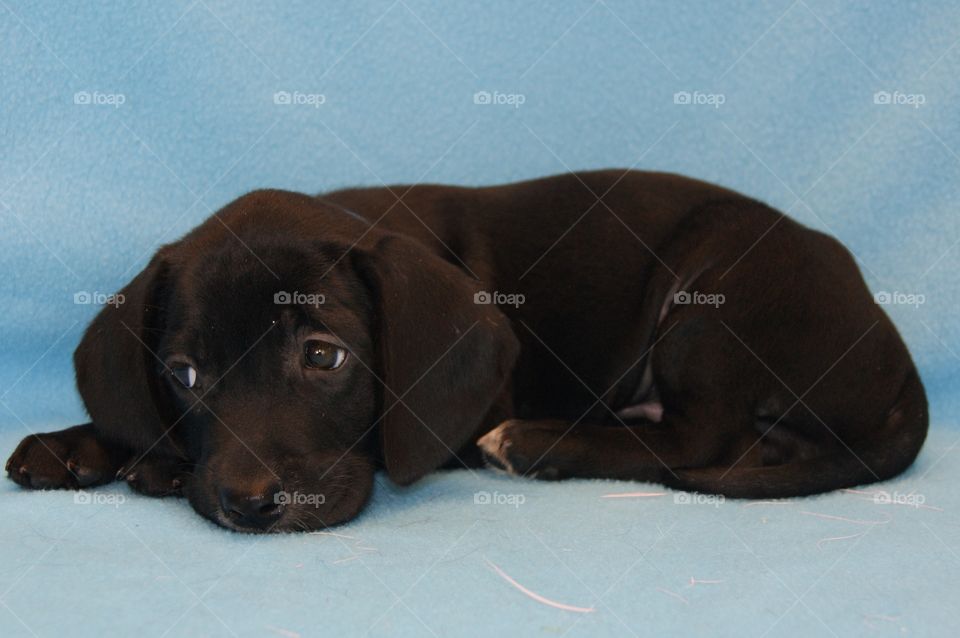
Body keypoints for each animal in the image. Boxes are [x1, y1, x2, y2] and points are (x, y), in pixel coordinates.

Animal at [3, 171, 928, 536]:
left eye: (325, 358)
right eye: (184, 374)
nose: (247, 502)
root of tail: (897, 358)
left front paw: (150, 464)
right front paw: (82, 446)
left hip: (712, 293)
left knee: (699, 438)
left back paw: (541, 443)